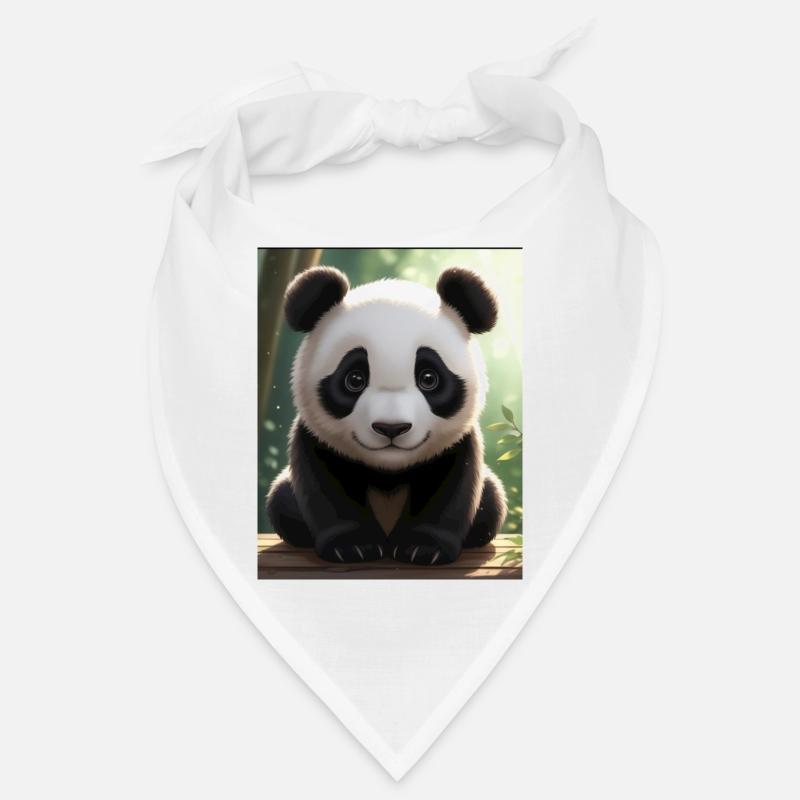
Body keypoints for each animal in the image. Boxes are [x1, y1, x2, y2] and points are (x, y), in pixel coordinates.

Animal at [266, 265, 507, 566]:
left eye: (429, 378)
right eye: (355, 379)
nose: (391, 428)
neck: (389, 469)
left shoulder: (457, 442)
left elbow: (449, 488)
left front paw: (423, 548)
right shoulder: (314, 436)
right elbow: (324, 489)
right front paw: (353, 546)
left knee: (492, 501)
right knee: (281, 500)